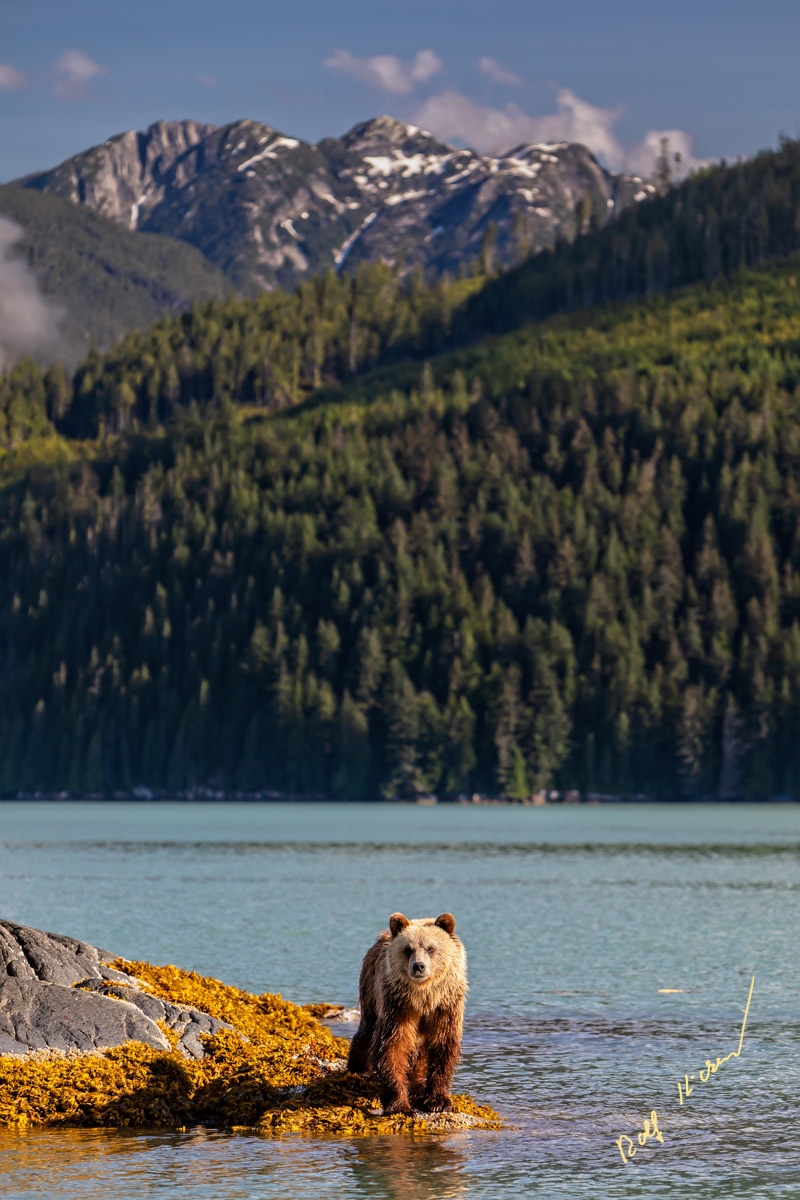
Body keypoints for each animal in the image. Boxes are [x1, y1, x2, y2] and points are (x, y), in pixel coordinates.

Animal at [347, 912, 467, 1115]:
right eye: (408, 949)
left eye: (431, 948)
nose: (419, 966)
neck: (423, 999)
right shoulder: (397, 1008)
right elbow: (391, 1047)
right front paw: (399, 1104)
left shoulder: (445, 1007)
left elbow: (443, 1046)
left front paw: (438, 1101)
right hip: (371, 992)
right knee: (367, 1032)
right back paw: (358, 1069)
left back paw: (417, 1084)